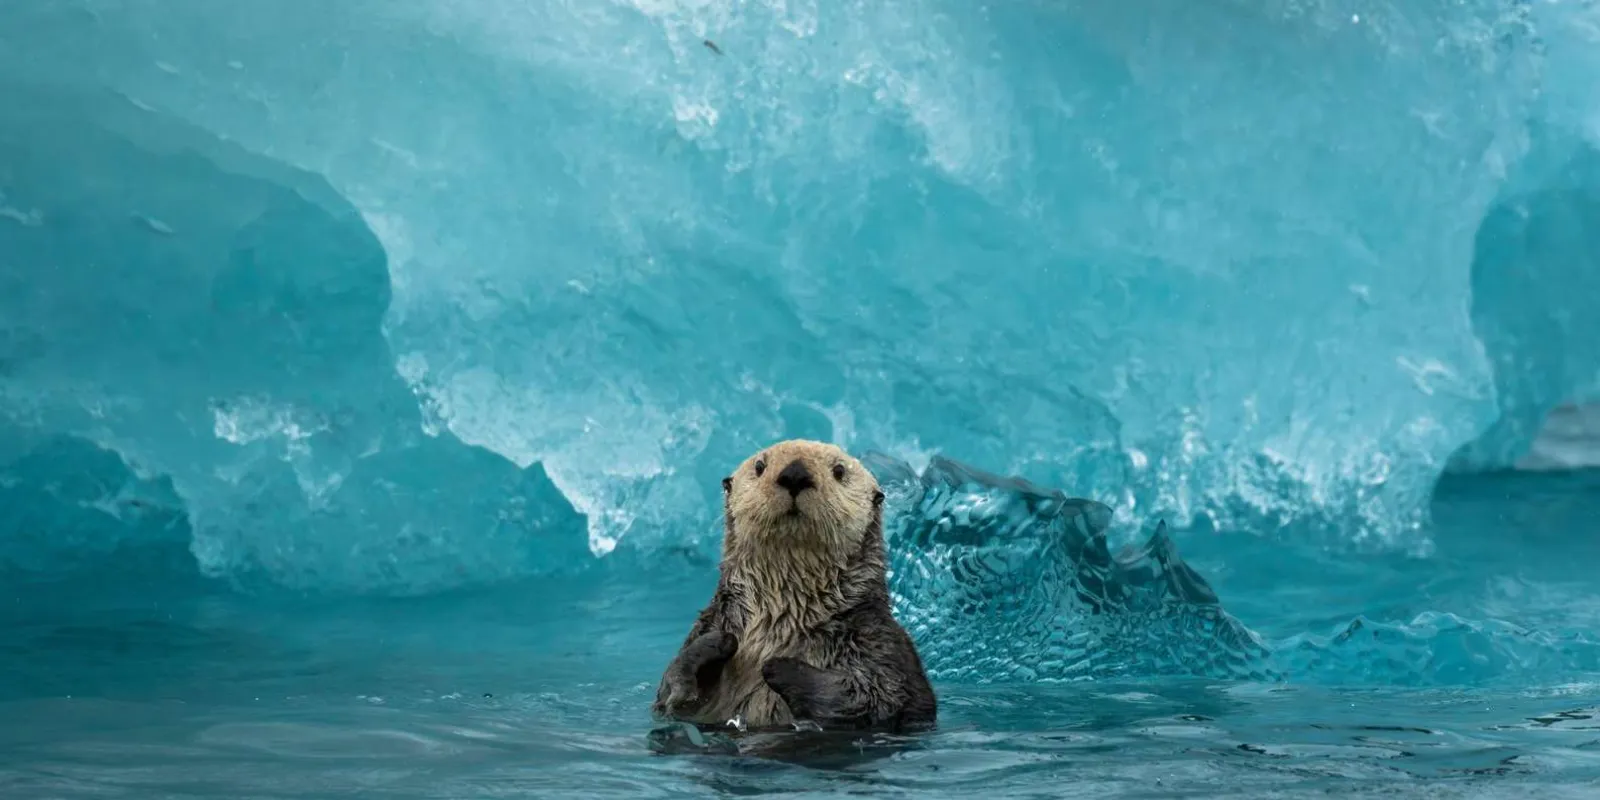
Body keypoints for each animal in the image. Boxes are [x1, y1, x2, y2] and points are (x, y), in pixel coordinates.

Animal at [651, 439, 937, 733]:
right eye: (759, 466)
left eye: (839, 470)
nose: (795, 474)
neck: (781, 616)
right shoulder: (711, 623)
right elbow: (671, 696)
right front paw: (718, 643)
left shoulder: (878, 642)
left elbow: (876, 697)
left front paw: (776, 665)